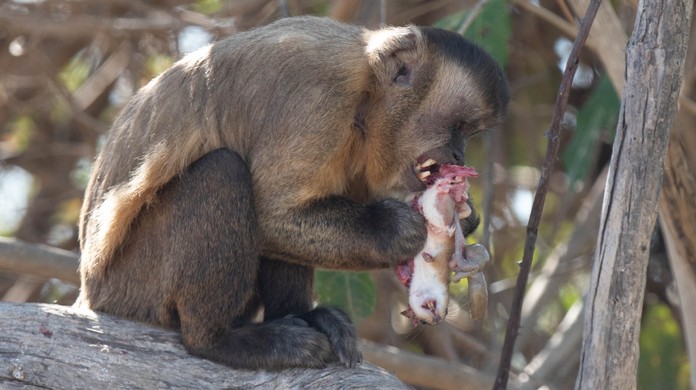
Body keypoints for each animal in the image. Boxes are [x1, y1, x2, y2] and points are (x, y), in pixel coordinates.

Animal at [76, 16, 508, 368]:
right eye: (458, 127)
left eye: (468, 133)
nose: (459, 154)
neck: (366, 89)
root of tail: (90, 293)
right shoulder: (318, 98)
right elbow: (273, 216)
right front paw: (400, 230)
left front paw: (464, 217)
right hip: (134, 286)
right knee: (223, 172)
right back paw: (219, 341)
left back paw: (302, 316)